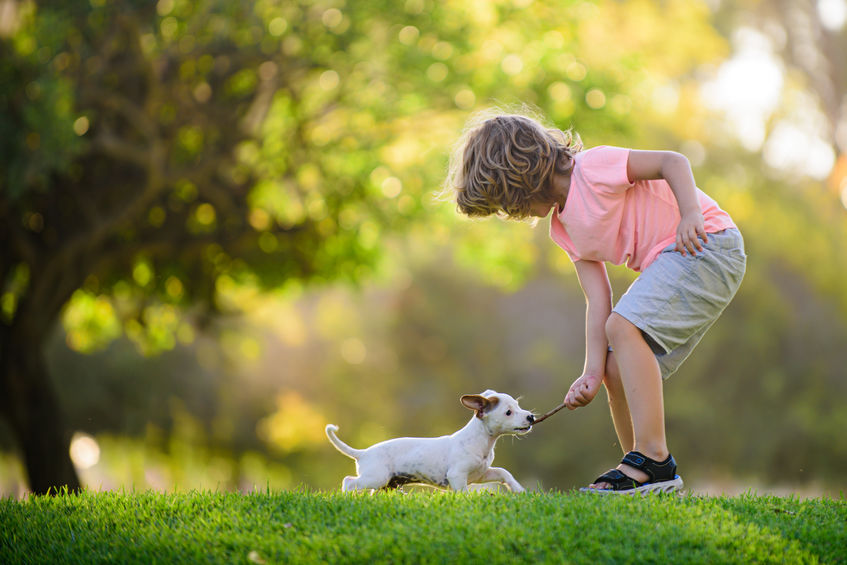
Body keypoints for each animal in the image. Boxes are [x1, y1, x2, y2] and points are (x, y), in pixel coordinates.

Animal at [326, 390, 532, 492]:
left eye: (518, 405)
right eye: (508, 412)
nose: (530, 417)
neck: (481, 442)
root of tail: (363, 453)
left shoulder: (480, 475)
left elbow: (503, 472)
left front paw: (518, 489)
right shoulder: (457, 476)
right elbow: (464, 494)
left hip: (386, 484)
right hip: (375, 477)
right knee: (348, 482)